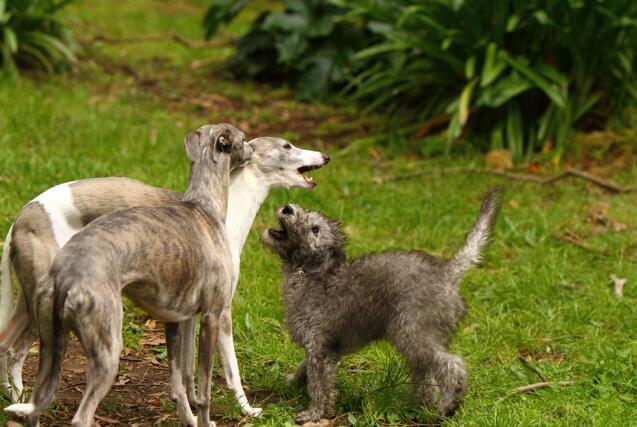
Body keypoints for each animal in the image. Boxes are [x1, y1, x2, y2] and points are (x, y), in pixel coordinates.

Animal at [0, 136, 329, 416]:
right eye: (287, 145)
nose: (325, 156)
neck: (220, 206)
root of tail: (23, 215)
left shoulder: (189, 311)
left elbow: (189, 368)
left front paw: (191, 403)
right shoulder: (220, 310)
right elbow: (232, 369)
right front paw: (247, 410)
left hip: (30, 301)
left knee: (6, 345)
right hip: (47, 305)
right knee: (16, 352)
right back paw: (22, 400)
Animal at [261, 187, 502, 423]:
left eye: (315, 230)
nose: (289, 208)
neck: (311, 272)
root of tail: (447, 274)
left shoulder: (318, 346)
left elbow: (319, 385)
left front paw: (315, 412)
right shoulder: (326, 349)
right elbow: (307, 370)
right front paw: (293, 381)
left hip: (412, 333)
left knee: (453, 366)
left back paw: (448, 406)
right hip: (418, 338)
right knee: (427, 377)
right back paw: (419, 408)